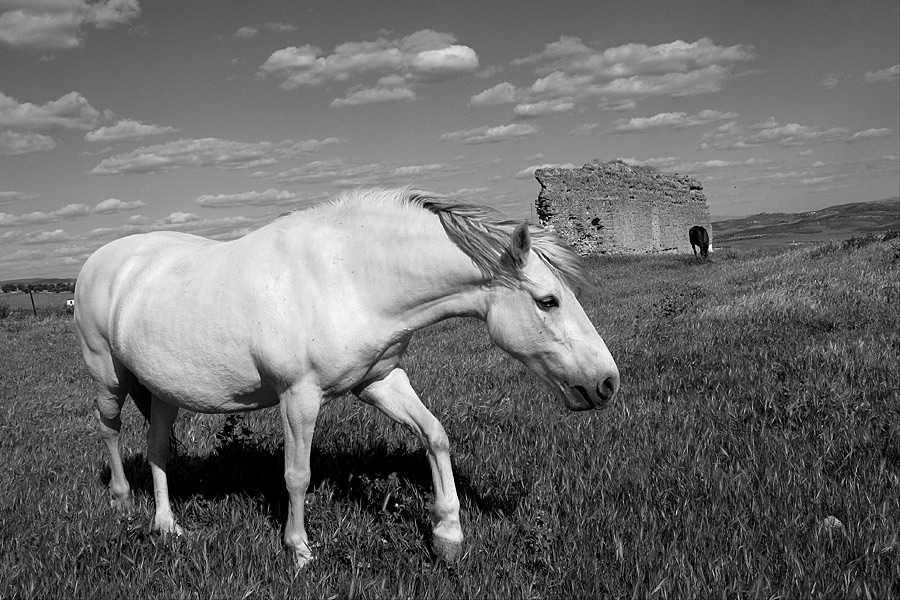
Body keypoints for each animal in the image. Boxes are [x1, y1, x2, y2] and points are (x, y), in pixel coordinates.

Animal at [75, 188, 620, 568]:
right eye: (548, 301)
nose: (606, 383)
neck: (347, 277)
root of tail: (100, 261)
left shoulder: (379, 381)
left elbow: (435, 435)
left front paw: (447, 535)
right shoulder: (299, 397)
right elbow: (297, 476)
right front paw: (298, 552)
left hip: (164, 392)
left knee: (158, 451)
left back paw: (167, 526)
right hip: (108, 378)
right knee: (110, 430)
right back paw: (122, 502)